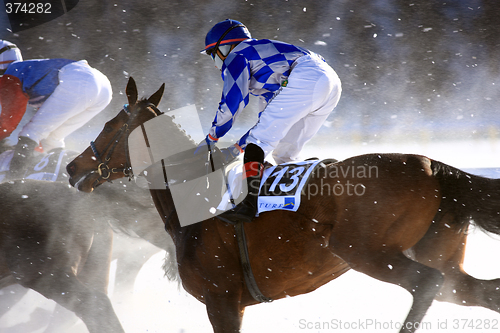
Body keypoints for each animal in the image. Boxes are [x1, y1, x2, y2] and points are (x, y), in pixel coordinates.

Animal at [66, 76, 500, 330]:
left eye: (109, 126)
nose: (73, 167)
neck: (195, 195)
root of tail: (431, 165)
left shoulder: (221, 302)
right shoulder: (231, 304)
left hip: (366, 251)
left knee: (426, 283)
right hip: (439, 254)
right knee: (478, 291)